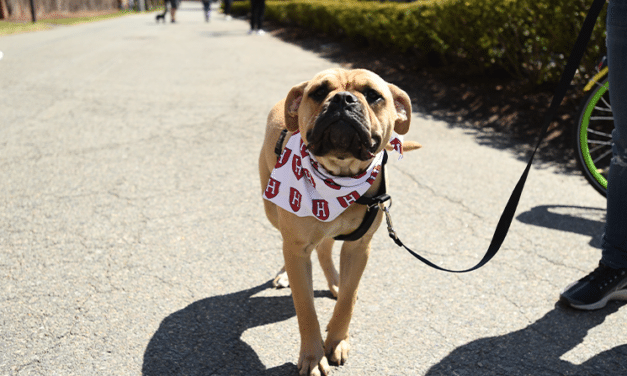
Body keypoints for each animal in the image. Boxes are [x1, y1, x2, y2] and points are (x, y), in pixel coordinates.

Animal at [258, 69, 418, 374]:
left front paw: (337, 340)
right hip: (273, 211)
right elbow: (306, 308)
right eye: (319, 92)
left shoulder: (359, 247)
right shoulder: (297, 247)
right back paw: (285, 274)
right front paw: (313, 355)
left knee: (324, 249)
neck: (339, 178)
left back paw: (335, 282)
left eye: (373, 95)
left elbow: (347, 300)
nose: (343, 99)